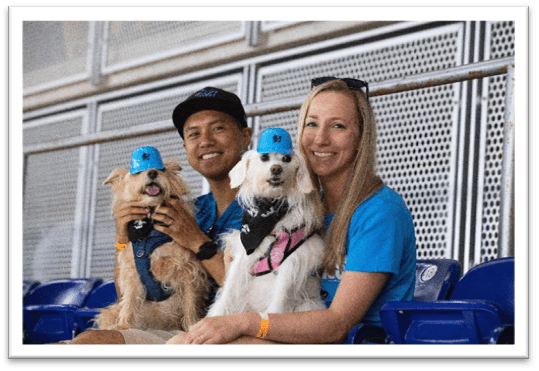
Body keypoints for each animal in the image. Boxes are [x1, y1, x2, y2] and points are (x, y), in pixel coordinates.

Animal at [94, 158, 210, 332]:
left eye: (161, 170)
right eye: (137, 173)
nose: (153, 172)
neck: (150, 232)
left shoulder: (187, 270)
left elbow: (190, 301)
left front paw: (191, 325)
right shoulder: (132, 273)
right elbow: (129, 300)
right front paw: (124, 324)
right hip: (110, 312)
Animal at [206, 128, 324, 316]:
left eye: (287, 159)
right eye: (264, 157)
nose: (276, 169)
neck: (269, 212)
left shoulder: (290, 263)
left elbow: (278, 302)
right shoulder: (244, 256)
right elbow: (227, 293)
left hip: (308, 305)